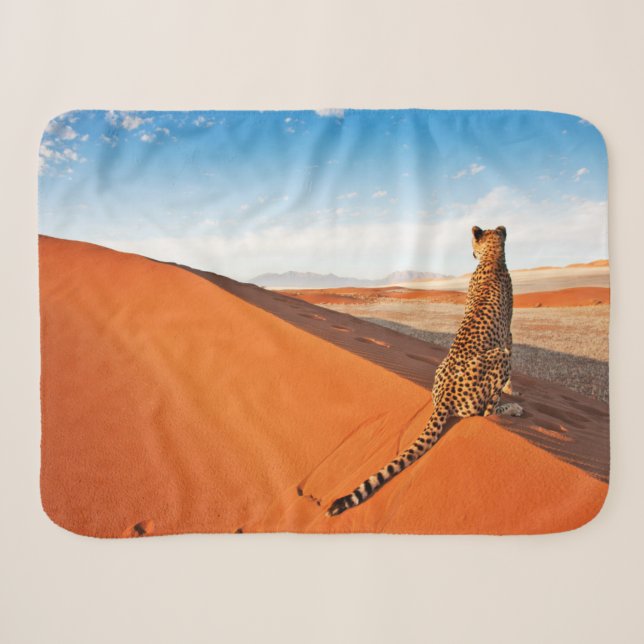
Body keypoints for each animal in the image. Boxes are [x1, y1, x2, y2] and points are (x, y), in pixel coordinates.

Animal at [327, 225, 523, 517]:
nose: (471, 253)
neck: (492, 259)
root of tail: (445, 397)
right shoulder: (507, 337)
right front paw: (514, 393)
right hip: (499, 357)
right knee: (484, 414)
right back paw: (512, 409)